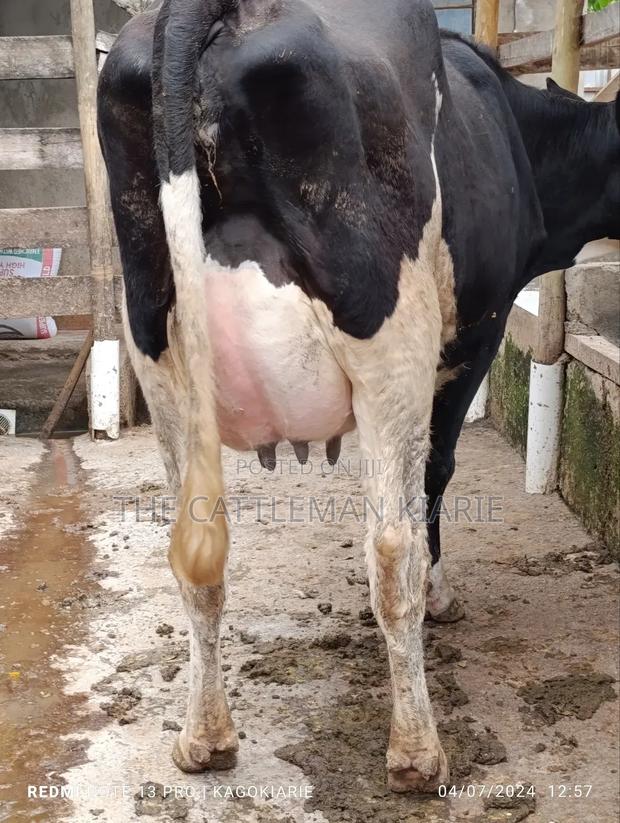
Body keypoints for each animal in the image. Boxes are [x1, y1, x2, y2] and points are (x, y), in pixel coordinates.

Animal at [98, 0, 620, 793]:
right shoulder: (477, 331)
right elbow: (433, 478)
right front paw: (441, 594)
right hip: (391, 333)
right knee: (391, 545)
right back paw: (416, 752)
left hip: (155, 348)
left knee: (196, 552)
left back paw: (204, 738)